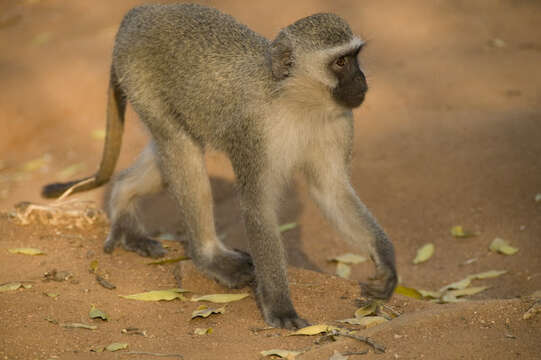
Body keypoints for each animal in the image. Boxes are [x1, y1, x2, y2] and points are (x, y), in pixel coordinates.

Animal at [42, 3, 394, 330]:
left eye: (355, 57)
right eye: (341, 62)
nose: (361, 79)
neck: (295, 102)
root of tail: (140, 12)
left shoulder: (339, 122)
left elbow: (331, 192)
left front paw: (386, 264)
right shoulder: (255, 134)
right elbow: (258, 208)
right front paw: (280, 306)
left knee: (170, 150)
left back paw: (124, 202)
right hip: (138, 76)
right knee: (181, 149)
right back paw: (208, 256)